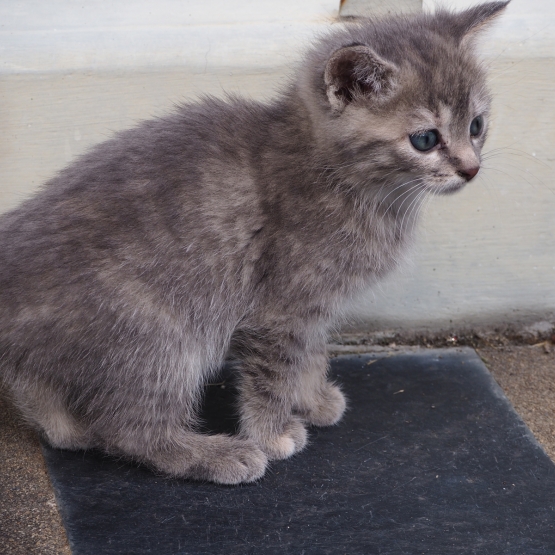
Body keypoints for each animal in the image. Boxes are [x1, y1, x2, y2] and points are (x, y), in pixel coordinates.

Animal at [0, 2, 508, 484]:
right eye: (425, 139)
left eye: (477, 125)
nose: (471, 168)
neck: (350, 184)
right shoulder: (278, 307)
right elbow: (273, 373)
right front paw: (273, 432)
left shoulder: (313, 305)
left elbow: (310, 352)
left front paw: (312, 398)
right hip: (158, 333)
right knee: (129, 427)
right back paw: (217, 455)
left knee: (65, 424)